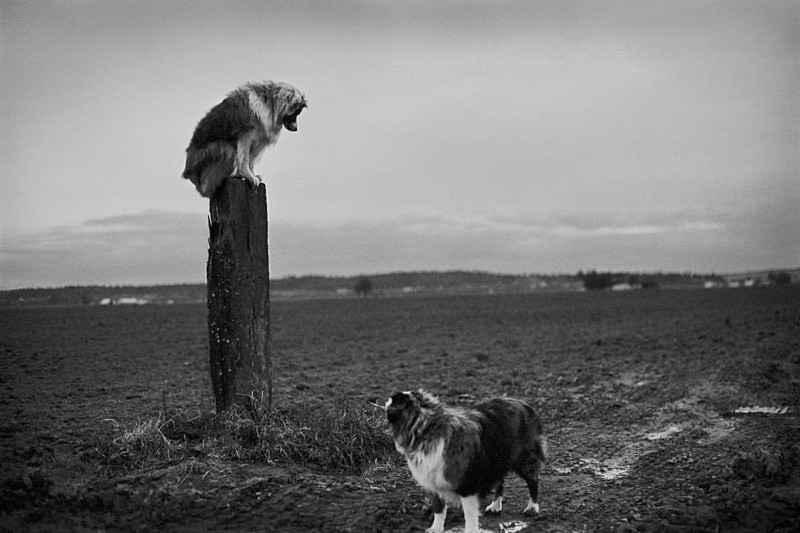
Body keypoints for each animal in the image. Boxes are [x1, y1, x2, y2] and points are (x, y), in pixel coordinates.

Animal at [386, 386, 548, 532]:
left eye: (394, 400)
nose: (387, 399)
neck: (427, 429)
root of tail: (523, 403)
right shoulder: (435, 481)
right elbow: (439, 508)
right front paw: (436, 528)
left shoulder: (466, 484)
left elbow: (469, 516)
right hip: (497, 458)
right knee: (500, 481)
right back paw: (495, 506)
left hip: (524, 459)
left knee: (533, 481)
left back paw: (532, 507)